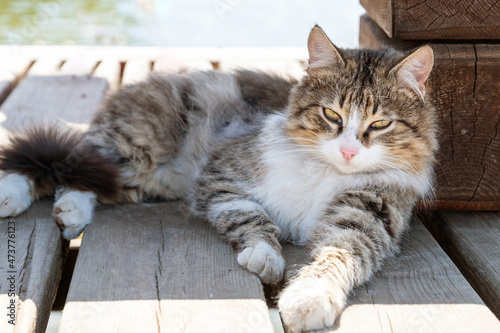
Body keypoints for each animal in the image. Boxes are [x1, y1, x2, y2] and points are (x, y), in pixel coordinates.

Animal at [0, 25, 438, 330]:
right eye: (331, 115)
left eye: (380, 124)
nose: (348, 151)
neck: (326, 172)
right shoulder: (221, 175)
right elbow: (253, 218)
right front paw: (265, 255)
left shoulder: (367, 218)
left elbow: (337, 258)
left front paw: (310, 299)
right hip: (139, 141)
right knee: (64, 158)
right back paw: (14, 194)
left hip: (140, 175)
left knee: (84, 178)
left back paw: (71, 209)